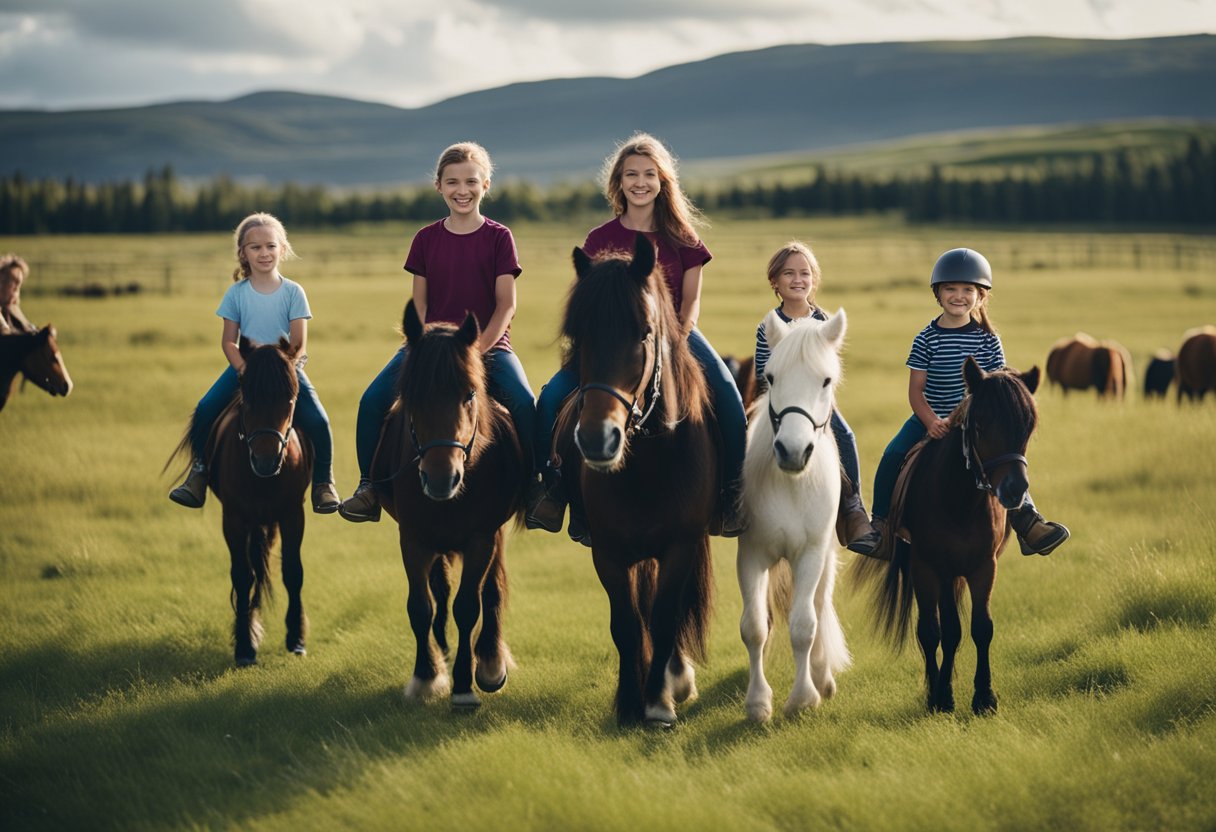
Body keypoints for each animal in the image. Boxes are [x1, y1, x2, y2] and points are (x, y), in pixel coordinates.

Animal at [170, 335, 313, 666]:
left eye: (290, 401)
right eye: (248, 401)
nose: (265, 461)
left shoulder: (292, 515)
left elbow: (292, 572)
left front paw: (296, 640)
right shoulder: (234, 518)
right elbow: (242, 575)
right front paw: (245, 646)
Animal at [369, 299, 522, 710]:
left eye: (469, 394)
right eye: (411, 395)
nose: (441, 478)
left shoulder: (483, 537)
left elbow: (469, 605)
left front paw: (466, 685)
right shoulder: (412, 538)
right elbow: (420, 607)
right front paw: (426, 675)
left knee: (491, 589)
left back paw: (490, 661)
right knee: (439, 590)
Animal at [556, 233, 715, 729]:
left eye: (644, 333)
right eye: (579, 336)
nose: (596, 438)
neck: (647, 463)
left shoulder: (680, 546)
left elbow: (663, 618)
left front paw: (659, 702)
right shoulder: (609, 551)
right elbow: (626, 624)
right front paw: (629, 702)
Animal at [734, 306, 851, 720]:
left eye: (826, 380)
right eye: (770, 377)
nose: (792, 451)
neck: (791, 483)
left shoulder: (811, 555)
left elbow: (804, 626)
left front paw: (803, 697)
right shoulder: (752, 555)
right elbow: (754, 626)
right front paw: (757, 703)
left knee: (818, 604)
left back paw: (822, 676)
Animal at [856, 357, 1045, 715]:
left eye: (1028, 427)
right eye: (980, 426)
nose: (1014, 490)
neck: (960, 501)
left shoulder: (984, 566)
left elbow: (981, 628)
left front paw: (984, 697)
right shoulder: (933, 567)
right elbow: (940, 632)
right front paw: (941, 696)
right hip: (929, 570)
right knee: (936, 630)